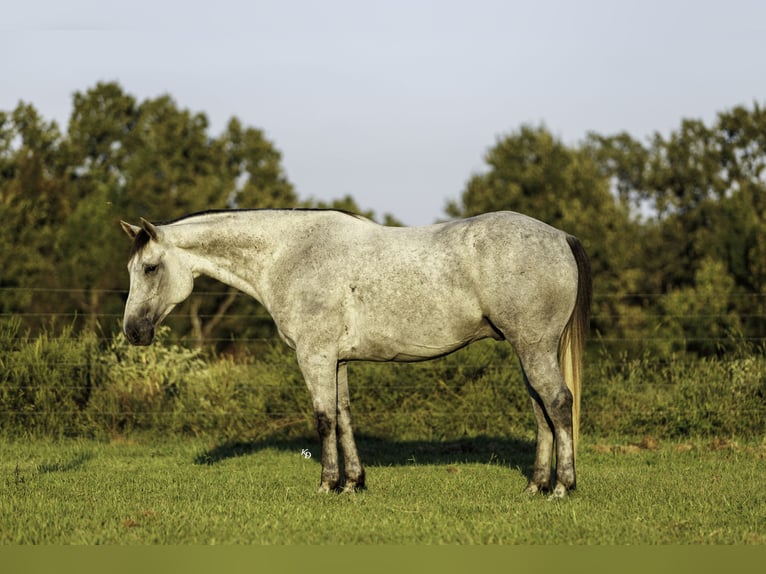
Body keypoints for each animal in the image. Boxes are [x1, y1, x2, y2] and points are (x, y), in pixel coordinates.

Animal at [120, 209, 591, 498]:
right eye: (131, 269)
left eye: (149, 268)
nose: (133, 331)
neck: (289, 254)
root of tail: (560, 236)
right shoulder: (338, 361)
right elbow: (344, 415)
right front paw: (353, 483)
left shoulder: (314, 357)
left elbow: (324, 418)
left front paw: (328, 484)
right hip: (527, 351)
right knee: (541, 412)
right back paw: (534, 486)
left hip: (534, 348)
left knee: (558, 403)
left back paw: (562, 487)